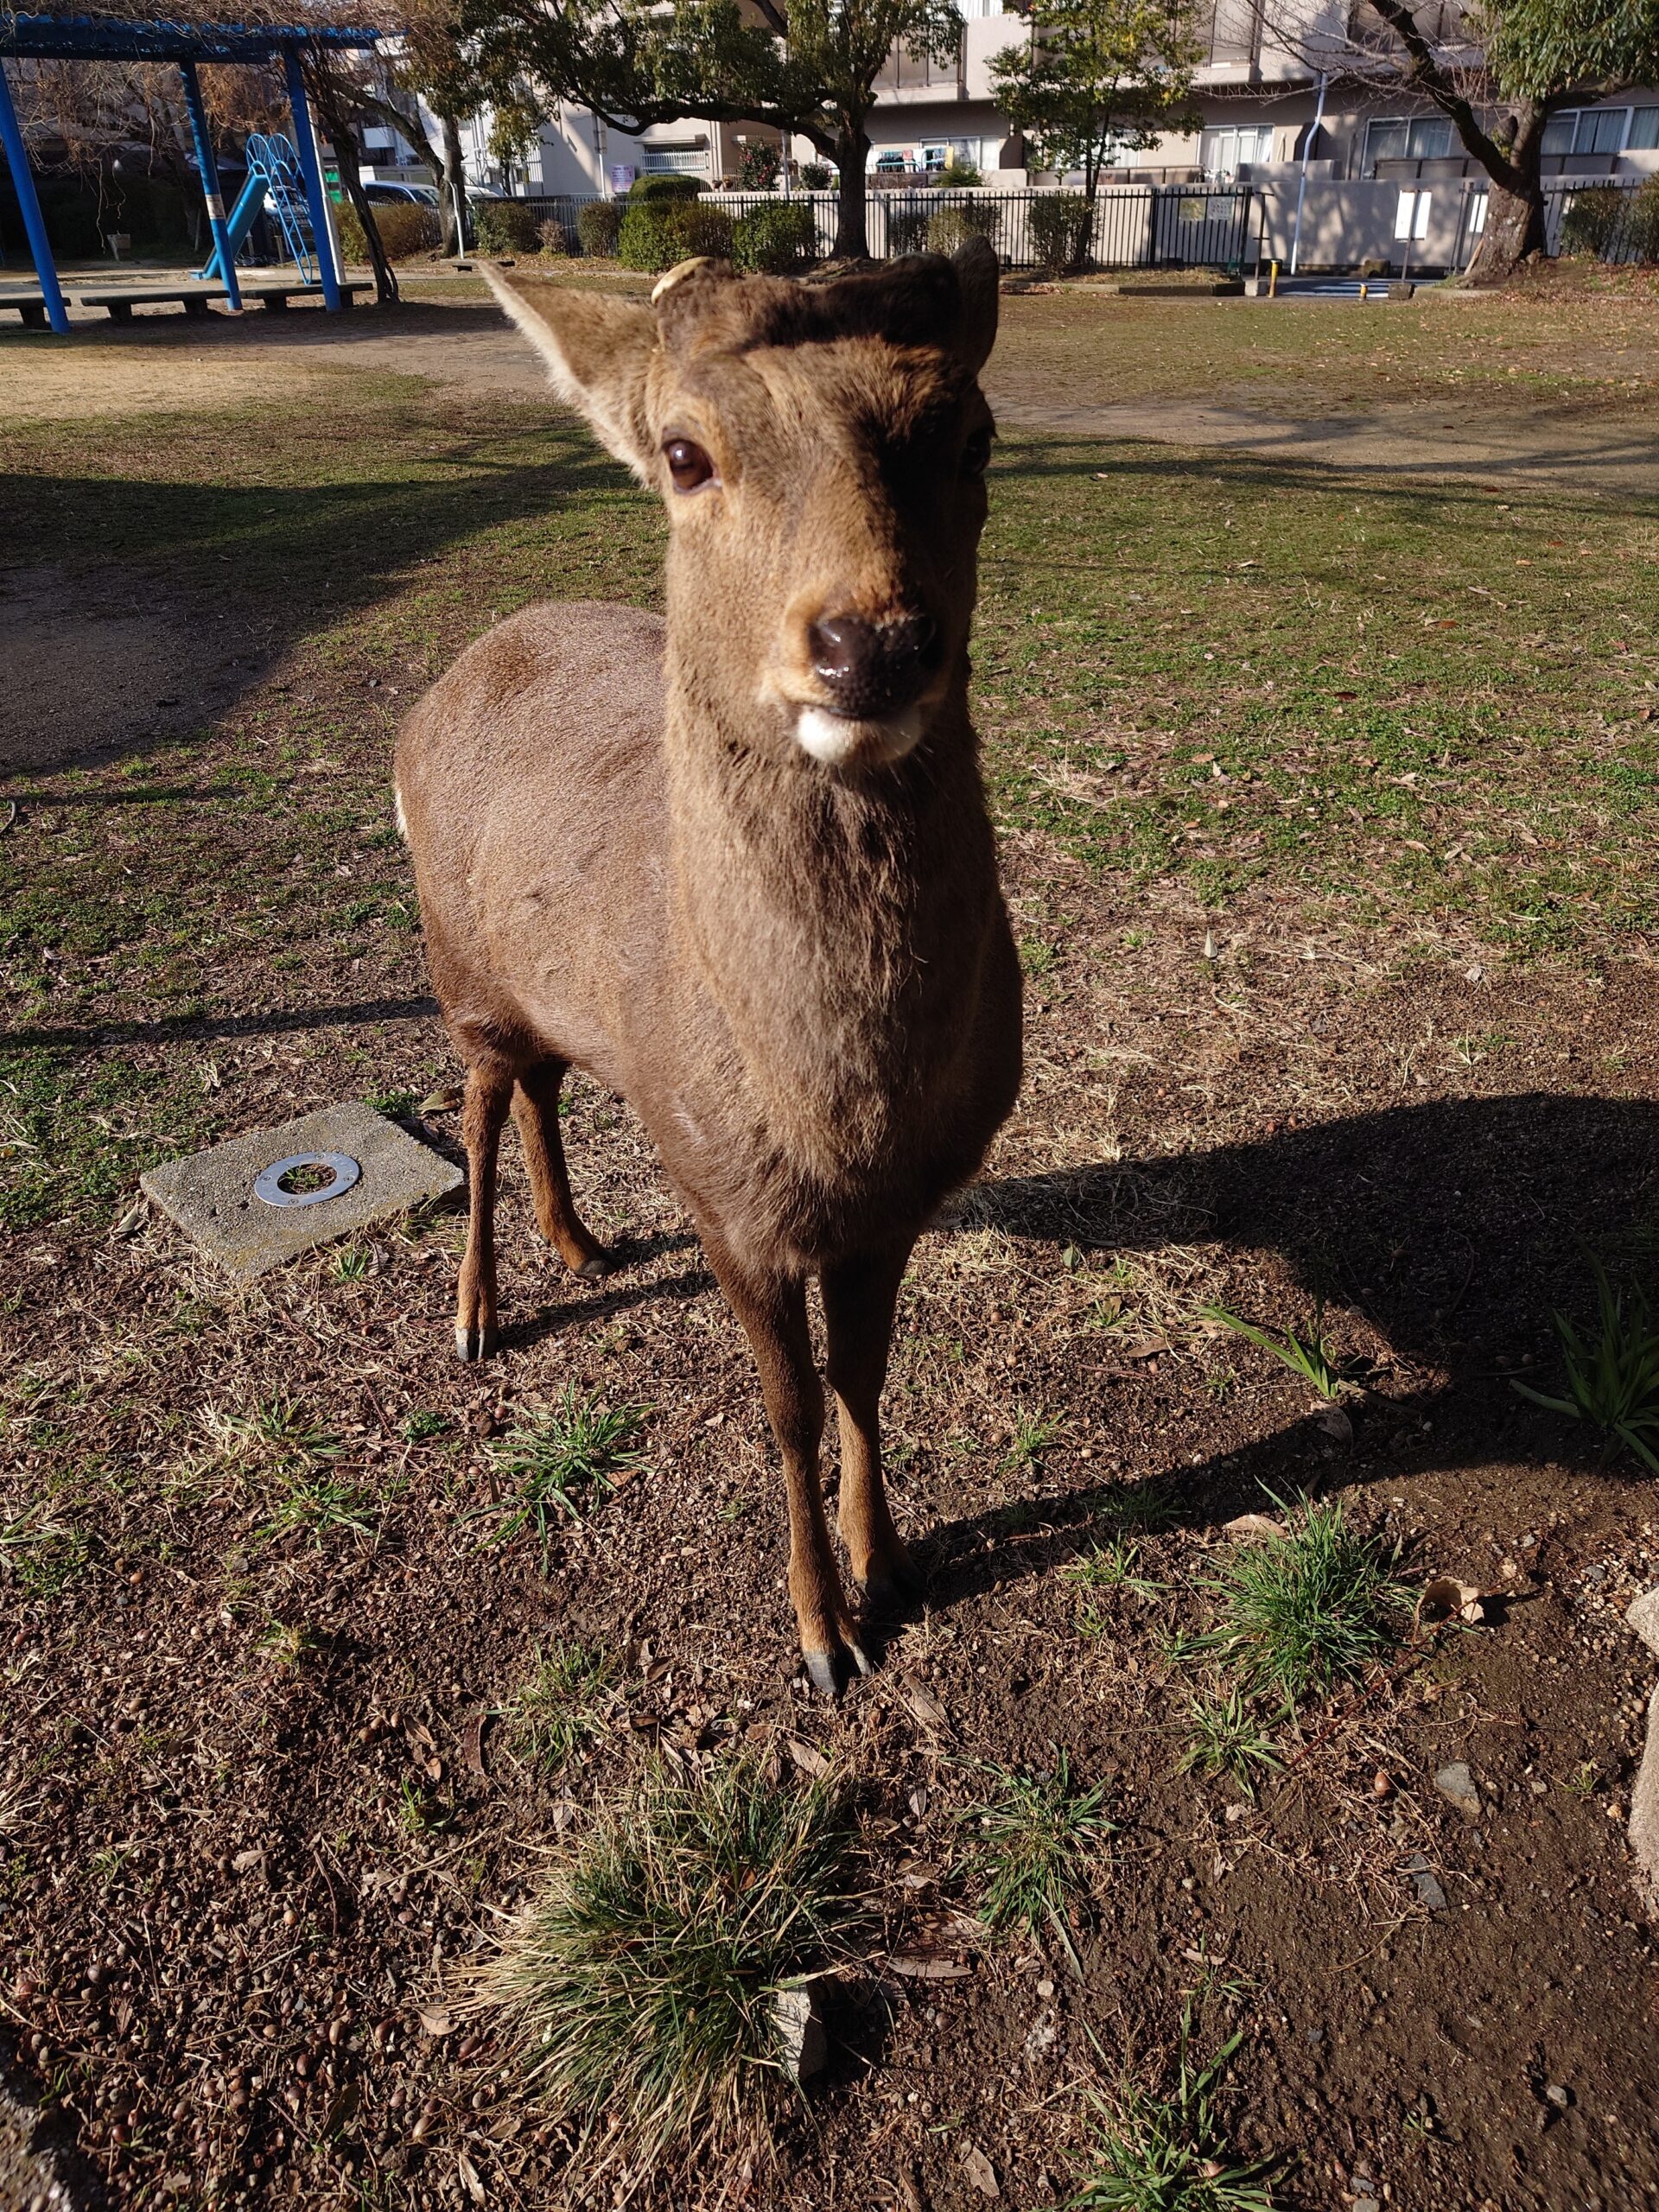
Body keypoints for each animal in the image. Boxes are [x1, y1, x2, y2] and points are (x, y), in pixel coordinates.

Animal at [400, 242, 1026, 1681]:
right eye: (684, 454)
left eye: (972, 434)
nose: (871, 643)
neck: (836, 1119)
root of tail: (449, 679)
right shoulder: (724, 1199)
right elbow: (787, 1407)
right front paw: (821, 1634)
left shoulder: (897, 1205)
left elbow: (865, 1377)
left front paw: (889, 1566)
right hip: (459, 973)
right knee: (477, 1103)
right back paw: (476, 1315)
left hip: (552, 1001)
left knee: (546, 1084)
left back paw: (579, 1241)